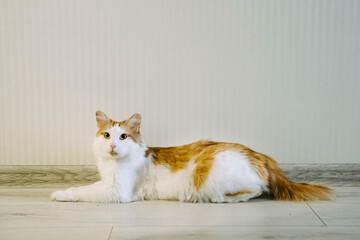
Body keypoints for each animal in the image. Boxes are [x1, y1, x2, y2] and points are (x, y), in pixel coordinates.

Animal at [49, 110, 334, 202]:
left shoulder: (116, 190)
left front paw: (60, 193)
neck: (111, 164)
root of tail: (259, 154)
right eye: (107, 135)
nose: (112, 146)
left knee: (256, 190)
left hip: (214, 179)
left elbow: (83, 190)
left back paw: (223, 200)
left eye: (124, 137)